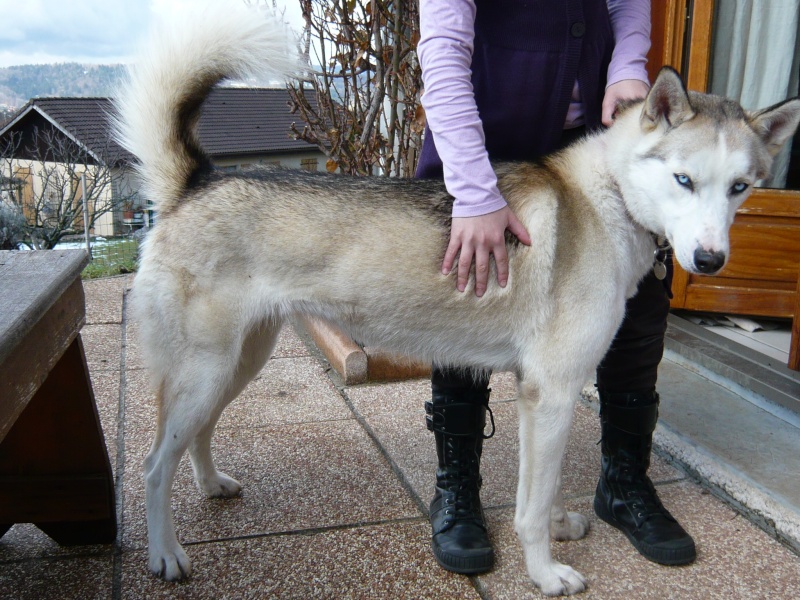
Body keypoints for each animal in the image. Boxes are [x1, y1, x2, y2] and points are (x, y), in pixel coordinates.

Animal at [115, 3, 800, 596]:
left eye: (740, 188)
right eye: (684, 180)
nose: (709, 261)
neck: (607, 196)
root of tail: (197, 182)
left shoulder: (541, 397)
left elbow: (541, 489)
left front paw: (556, 527)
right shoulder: (551, 392)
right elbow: (531, 505)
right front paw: (544, 573)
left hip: (238, 364)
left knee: (195, 436)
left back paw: (210, 485)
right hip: (207, 370)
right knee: (152, 465)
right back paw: (166, 554)